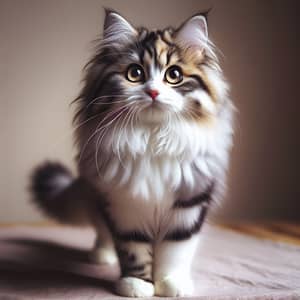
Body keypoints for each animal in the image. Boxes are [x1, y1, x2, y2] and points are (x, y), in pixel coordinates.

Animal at [31, 9, 236, 298]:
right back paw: (101, 256)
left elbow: (175, 251)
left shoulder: (189, 203)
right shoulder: (124, 204)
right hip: (97, 197)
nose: (153, 91)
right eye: (135, 73)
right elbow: (133, 251)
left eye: (174, 75)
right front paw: (136, 285)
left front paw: (171, 284)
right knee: (102, 232)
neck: (152, 139)